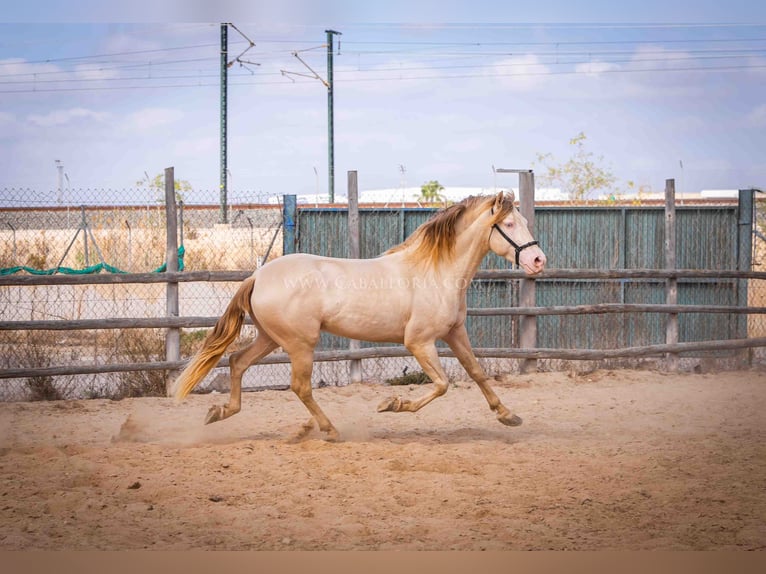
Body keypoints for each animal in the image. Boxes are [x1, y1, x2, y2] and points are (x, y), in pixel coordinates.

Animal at [172, 191, 544, 444]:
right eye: (509, 224)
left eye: (525, 222)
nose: (538, 260)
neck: (435, 271)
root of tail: (258, 276)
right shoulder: (419, 342)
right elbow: (442, 385)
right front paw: (392, 404)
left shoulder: (455, 333)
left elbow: (477, 372)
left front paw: (509, 416)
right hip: (300, 343)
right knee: (299, 386)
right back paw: (328, 430)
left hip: (270, 338)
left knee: (237, 362)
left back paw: (221, 412)